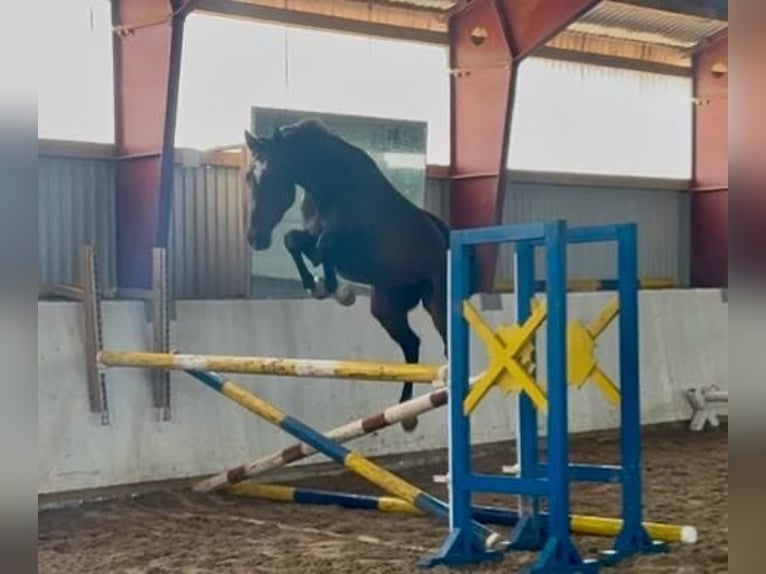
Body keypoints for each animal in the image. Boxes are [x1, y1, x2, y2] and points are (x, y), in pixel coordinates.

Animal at [243, 119, 450, 432]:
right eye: (248, 178)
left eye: (273, 177)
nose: (255, 238)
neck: (332, 186)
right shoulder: (312, 235)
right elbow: (295, 241)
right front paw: (317, 286)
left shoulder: (354, 246)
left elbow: (324, 246)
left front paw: (338, 291)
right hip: (386, 308)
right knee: (412, 343)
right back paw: (406, 413)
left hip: (437, 304)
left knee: (446, 343)